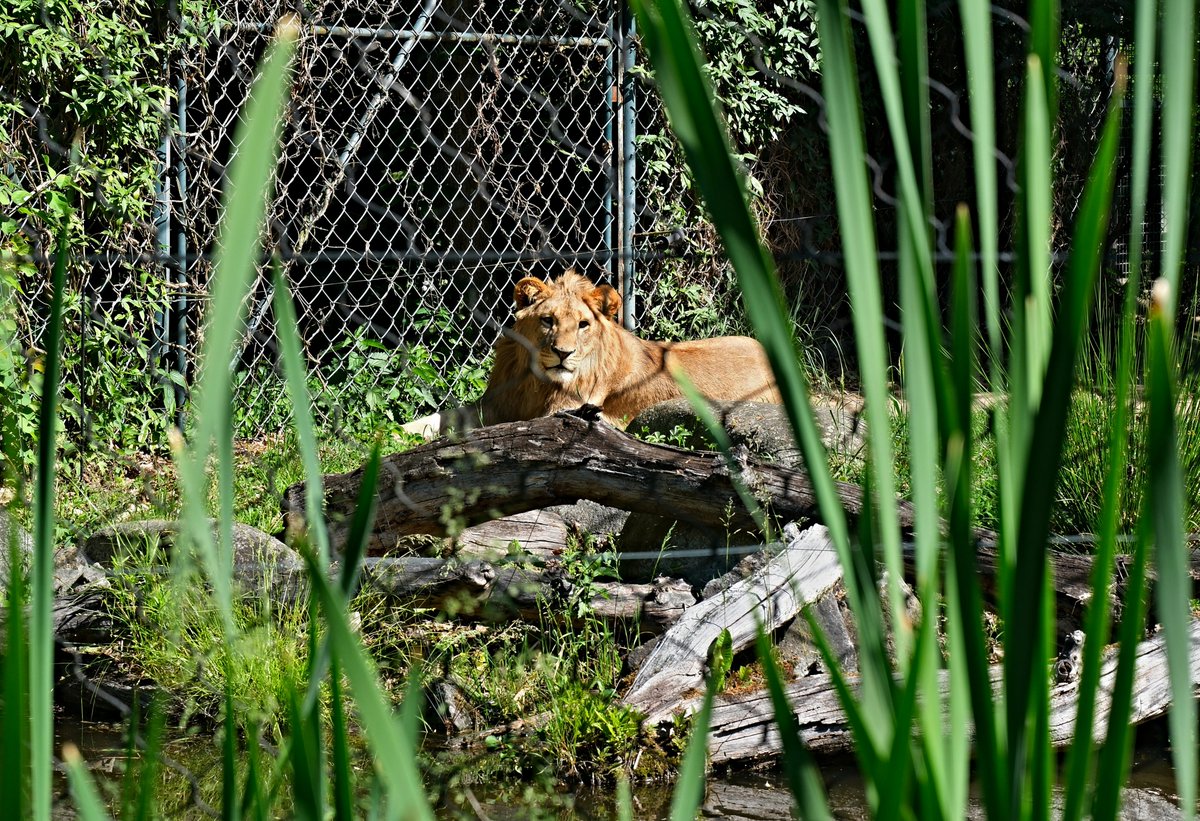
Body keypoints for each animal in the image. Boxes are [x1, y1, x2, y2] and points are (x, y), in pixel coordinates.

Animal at [401, 269, 780, 438]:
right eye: (548, 320)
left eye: (583, 325)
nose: (563, 353)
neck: (537, 383)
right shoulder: (494, 404)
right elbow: (436, 419)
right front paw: (397, 434)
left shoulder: (563, 410)